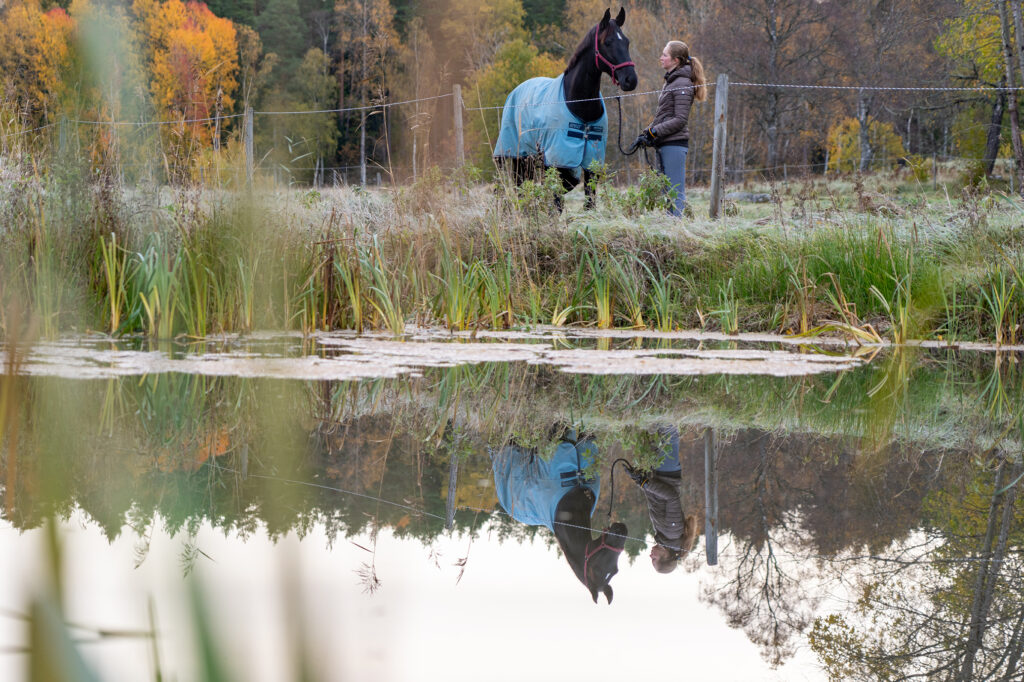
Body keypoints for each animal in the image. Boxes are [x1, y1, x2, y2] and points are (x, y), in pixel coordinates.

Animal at [491, 7, 634, 208]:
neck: (580, 105)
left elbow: (586, 198)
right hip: (517, 155)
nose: (631, 79)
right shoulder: (557, 159)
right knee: (520, 186)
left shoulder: (591, 163)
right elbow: (557, 192)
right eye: (608, 42)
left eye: (627, 42)